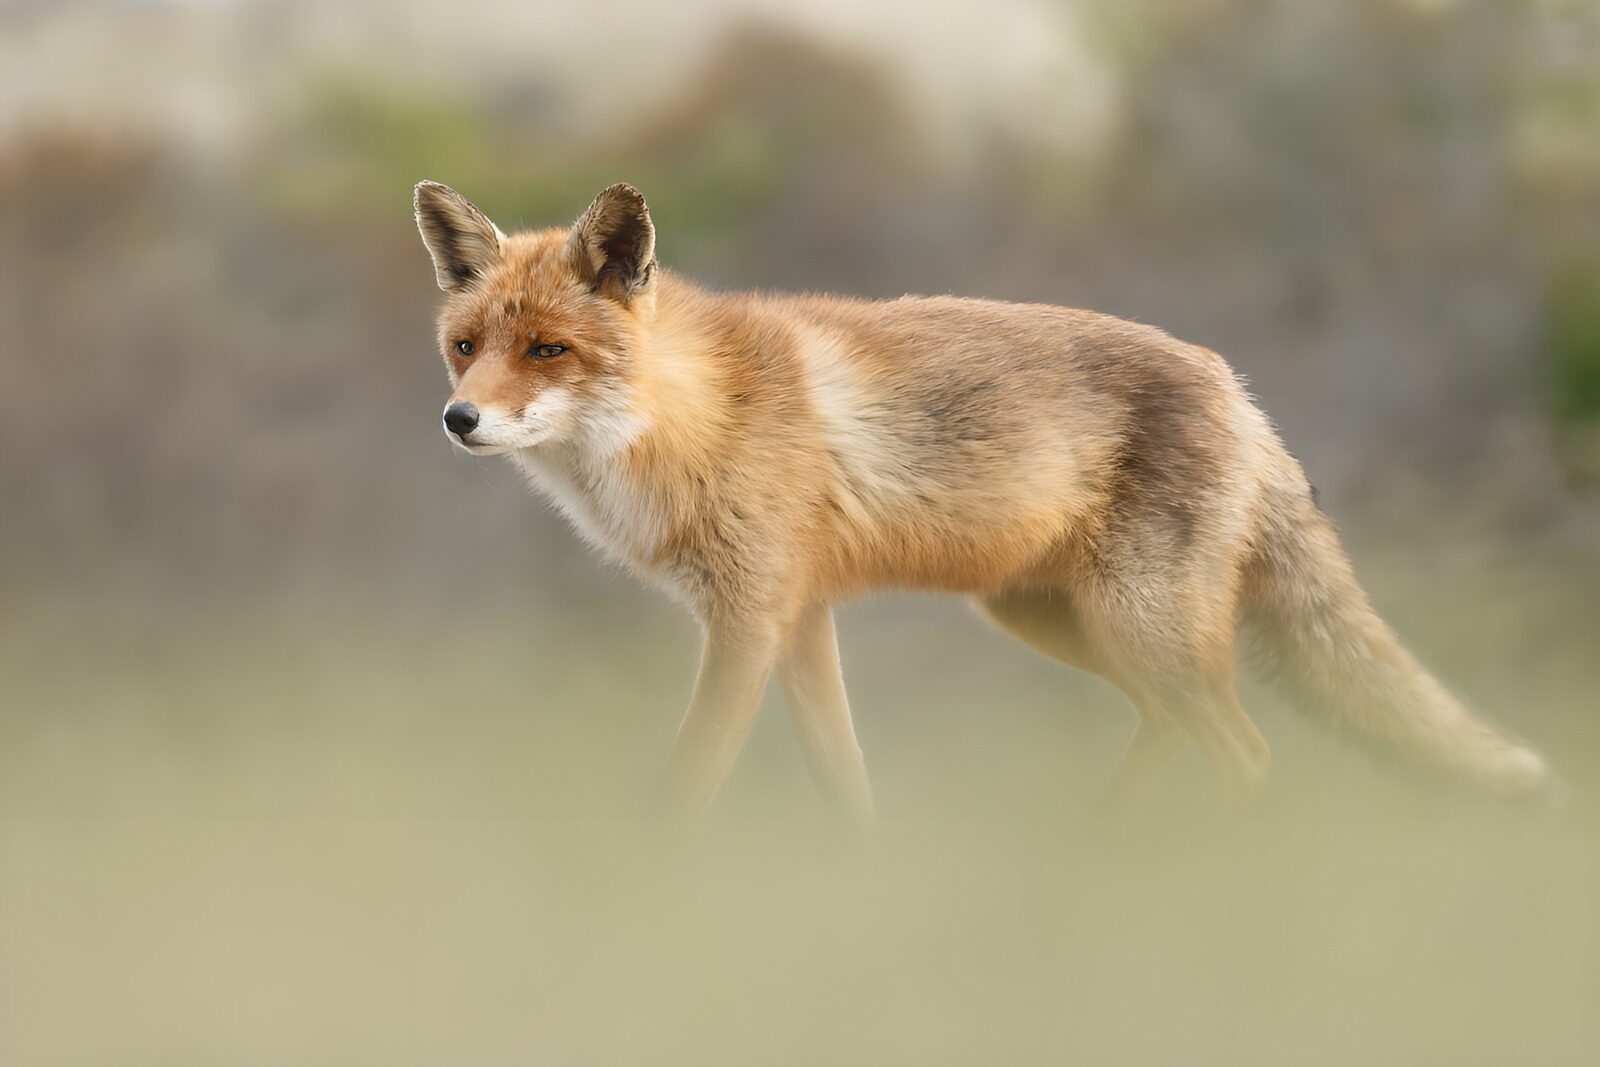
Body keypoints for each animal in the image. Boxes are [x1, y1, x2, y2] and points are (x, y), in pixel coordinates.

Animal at [412, 179, 1550, 818]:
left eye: (548, 350)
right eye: (466, 347)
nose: (458, 420)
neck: (694, 416)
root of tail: (1237, 386)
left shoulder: (748, 619)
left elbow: (685, 782)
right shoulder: (797, 619)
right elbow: (845, 784)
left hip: (1137, 625)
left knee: (1246, 751)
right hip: (1061, 621)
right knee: (1179, 732)